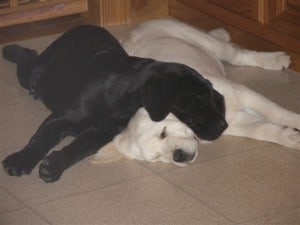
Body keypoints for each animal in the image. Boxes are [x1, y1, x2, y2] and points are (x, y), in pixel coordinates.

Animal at [1, 25, 227, 183]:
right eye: (199, 97)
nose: (223, 125)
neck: (124, 98)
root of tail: (84, 26)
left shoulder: (101, 133)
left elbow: (78, 149)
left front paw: (55, 165)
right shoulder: (62, 118)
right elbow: (40, 140)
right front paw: (21, 160)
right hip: (35, 72)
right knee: (29, 58)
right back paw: (11, 50)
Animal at [93, 18, 298, 165]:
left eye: (163, 133)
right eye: (157, 157)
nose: (178, 156)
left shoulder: (242, 93)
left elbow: (277, 113)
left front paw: (295, 122)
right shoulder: (236, 122)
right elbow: (263, 129)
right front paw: (291, 137)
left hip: (193, 35)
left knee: (237, 54)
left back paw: (274, 59)